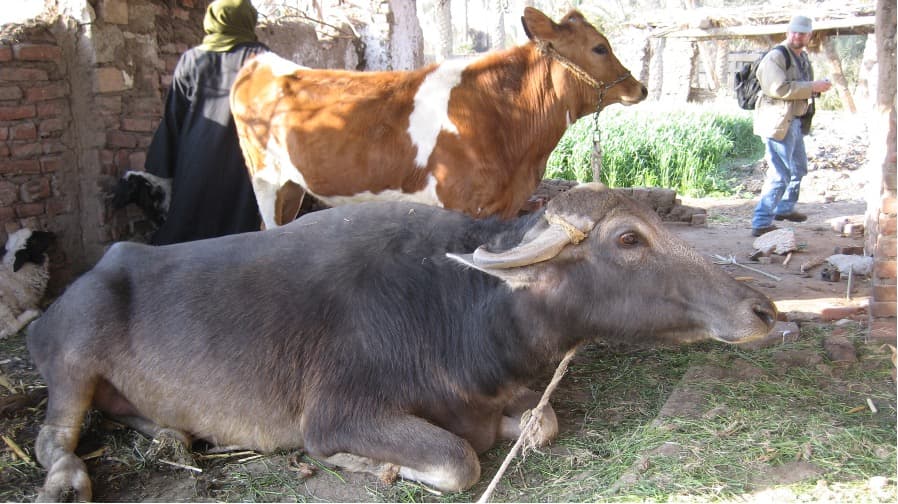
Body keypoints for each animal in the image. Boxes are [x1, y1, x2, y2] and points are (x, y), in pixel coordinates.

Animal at [27, 184, 776, 500]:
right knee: (50, 437)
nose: (763, 309)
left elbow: (542, 425)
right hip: (72, 364)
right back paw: (67, 480)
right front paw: (375, 467)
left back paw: (170, 435)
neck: (459, 309)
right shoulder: (338, 414)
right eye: (628, 239)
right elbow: (458, 461)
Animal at [230, 8, 648, 229]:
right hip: (264, 179)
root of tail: (264, 63)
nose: (640, 88)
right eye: (600, 47)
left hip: (292, 184)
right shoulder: (461, 206)